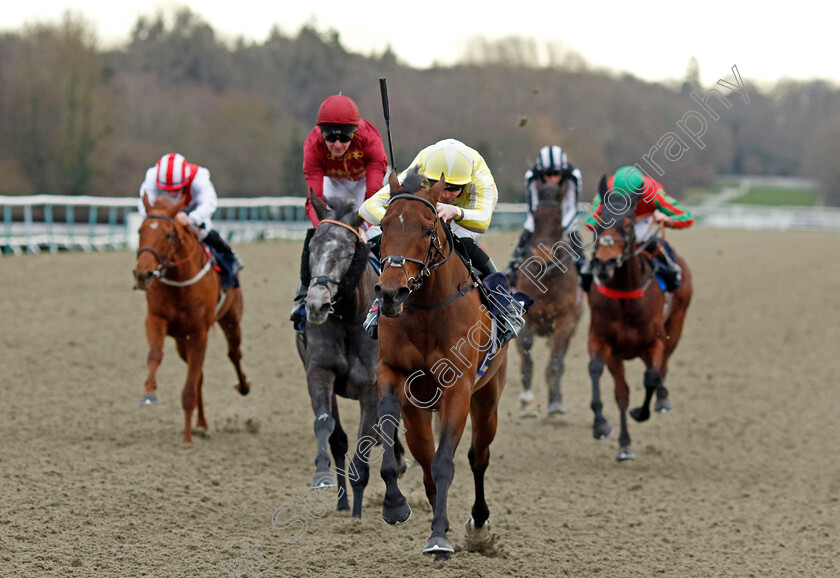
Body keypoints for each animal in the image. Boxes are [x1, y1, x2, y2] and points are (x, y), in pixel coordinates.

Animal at [132, 194, 249, 446]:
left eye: (168, 234)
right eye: (140, 231)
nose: (142, 274)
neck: (179, 283)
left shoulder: (199, 333)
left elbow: (189, 388)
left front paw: (186, 439)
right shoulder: (156, 320)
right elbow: (155, 354)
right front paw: (149, 392)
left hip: (231, 319)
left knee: (234, 353)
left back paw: (243, 386)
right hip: (181, 341)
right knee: (200, 377)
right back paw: (201, 423)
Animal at [376, 168, 508, 560]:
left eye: (427, 228)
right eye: (384, 225)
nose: (391, 294)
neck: (427, 309)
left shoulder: (459, 389)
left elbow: (447, 462)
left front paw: (438, 539)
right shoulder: (392, 374)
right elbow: (391, 434)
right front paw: (395, 506)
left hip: (488, 399)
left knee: (478, 456)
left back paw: (477, 523)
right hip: (418, 411)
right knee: (426, 461)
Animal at [512, 180, 584, 414]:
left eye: (559, 215)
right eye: (535, 215)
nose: (541, 256)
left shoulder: (566, 320)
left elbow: (556, 361)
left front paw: (555, 402)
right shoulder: (525, 317)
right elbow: (526, 352)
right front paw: (526, 400)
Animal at [588, 176, 692, 460]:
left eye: (627, 224)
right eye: (600, 220)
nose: (604, 263)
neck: (625, 296)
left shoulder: (654, 341)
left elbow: (651, 378)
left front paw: (641, 411)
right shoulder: (603, 341)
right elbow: (610, 384)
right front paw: (607, 429)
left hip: (675, 326)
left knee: (662, 367)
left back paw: (663, 400)